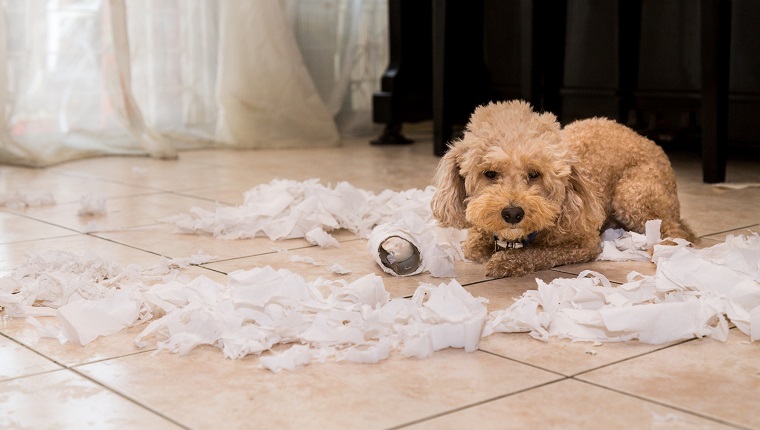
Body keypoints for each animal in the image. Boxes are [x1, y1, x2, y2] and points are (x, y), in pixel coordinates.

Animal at [428, 100, 696, 278]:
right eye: (490, 174)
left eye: (534, 174)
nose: (512, 213)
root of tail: (650, 142)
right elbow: (474, 246)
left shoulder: (584, 243)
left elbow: (539, 253)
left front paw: (506, 261)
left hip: (632, 195)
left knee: (677, 230)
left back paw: (667, 248)